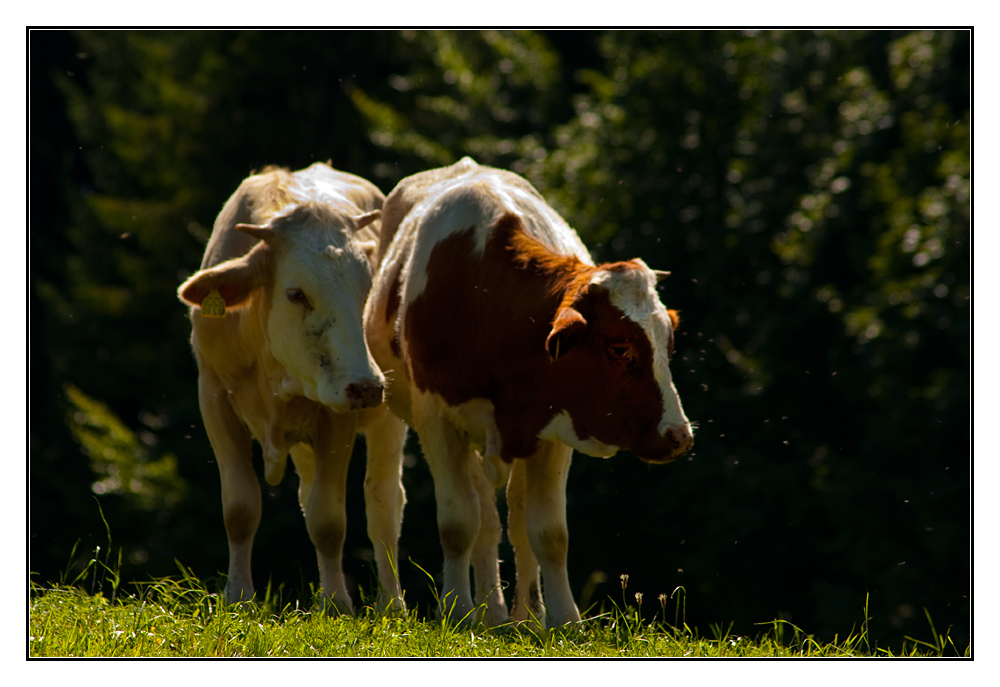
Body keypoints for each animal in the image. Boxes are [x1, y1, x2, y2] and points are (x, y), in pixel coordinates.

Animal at [179, 164, 406, 616]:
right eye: (296, 293)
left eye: (366, 289)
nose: (367, 386)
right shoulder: (213, 398)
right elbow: (241, 507)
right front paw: (239, 595)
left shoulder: (338, 412)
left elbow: (329, 519)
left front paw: (336, 603)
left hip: (387, 421)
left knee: (383, 506)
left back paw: (392, 605)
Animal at [368, 157, 696, 628]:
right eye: (619, 349)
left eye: (668, 343)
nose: (679, 436)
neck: (484, 296)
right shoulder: (437, 418)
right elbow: (459, 523)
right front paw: (458, 611)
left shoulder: (553, 424)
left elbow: (548, 532)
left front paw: (564, 619)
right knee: (480, 518)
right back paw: (487, 612)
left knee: (512, 520)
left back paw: (521, 614)